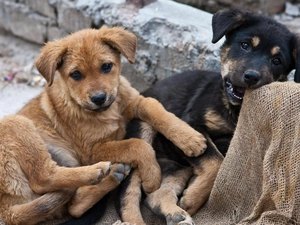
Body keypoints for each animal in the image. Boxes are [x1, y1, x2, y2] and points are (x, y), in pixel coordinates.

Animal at [0, 26, 206, 225]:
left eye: (106, 66)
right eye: (76, 74)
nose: (99, 98)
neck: (109, 111)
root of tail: (7, 209)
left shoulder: (135, 101)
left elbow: (155, 108)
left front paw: (190, 138)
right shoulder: (91, 151)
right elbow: (136, 144)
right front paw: (152, 176)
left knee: (73, 207)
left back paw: (113, 175)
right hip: (16, 123)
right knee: (44, 177)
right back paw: (98, 171)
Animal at [117, 7, 300, 225]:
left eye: (276, 61)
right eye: (245, 45)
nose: (252, 76)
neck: (234, 110)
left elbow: (219, 160)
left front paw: (191, 200)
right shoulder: (192, 125)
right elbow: (216, 161)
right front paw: (194, 198)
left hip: (176, 167)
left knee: (154, 195)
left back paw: (177, 214)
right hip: (143, 134)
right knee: (128, 190)